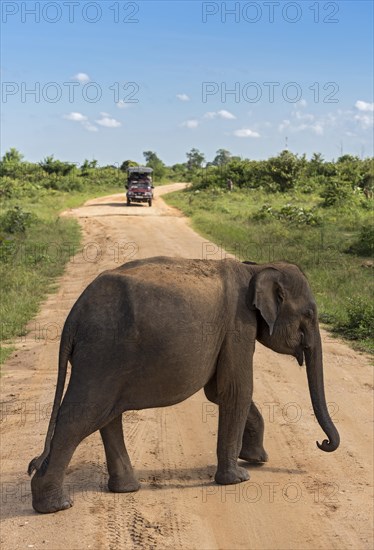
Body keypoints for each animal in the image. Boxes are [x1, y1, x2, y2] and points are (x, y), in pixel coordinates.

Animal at [27, 256, 340, 516]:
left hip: (104, 359)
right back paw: (56, 506)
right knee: (81, 416)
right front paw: (238, 478)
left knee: (107, 415)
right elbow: (235, 391)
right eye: (309, 315)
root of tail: (74, 316)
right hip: (101, 352)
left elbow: (218, 393)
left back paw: (126, 489)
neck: (255, 267)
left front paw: (256, 459)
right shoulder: (238, 325)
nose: (322, 443)